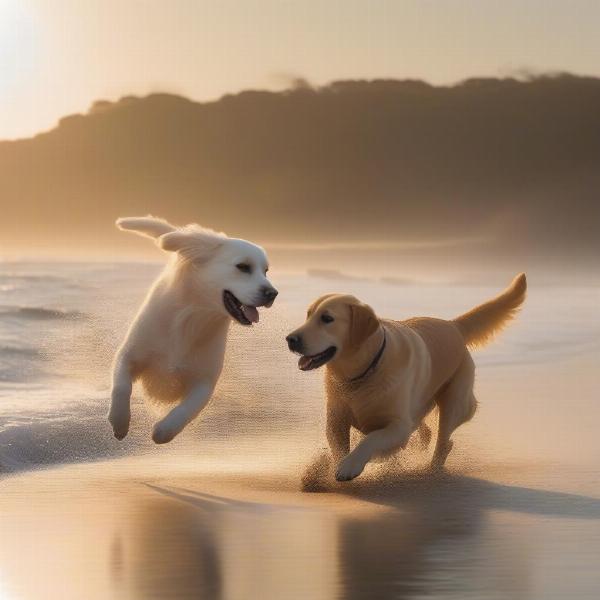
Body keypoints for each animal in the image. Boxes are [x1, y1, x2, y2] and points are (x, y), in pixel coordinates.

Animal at [108, 218, 276, 442]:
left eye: (266, 271)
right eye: (243, 267)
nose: (273, 293)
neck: (193, 316)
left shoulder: (204, 382)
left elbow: (186, 411)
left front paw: (162, 431)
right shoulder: (129, 355)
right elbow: (121, 386)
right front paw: (119, 422)